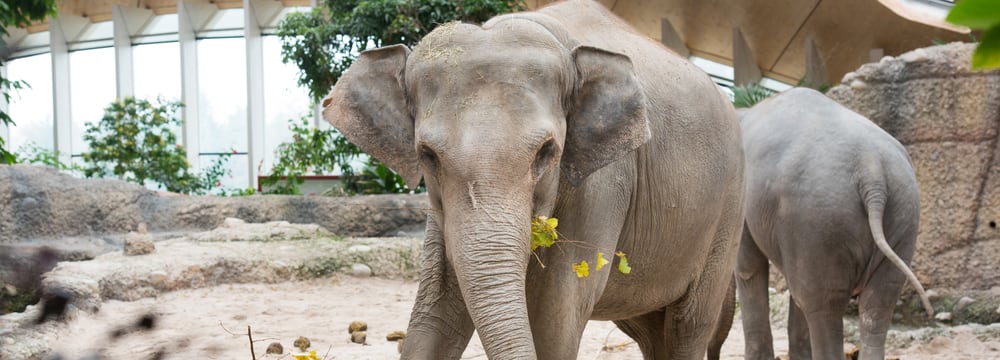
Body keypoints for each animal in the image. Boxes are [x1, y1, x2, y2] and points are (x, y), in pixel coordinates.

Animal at [316, 0, 748, 358]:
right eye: (427, 155)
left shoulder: (605, 181)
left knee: (688, 326)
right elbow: (435, 313)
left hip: (727, 213)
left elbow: (554, 318)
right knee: (650, 329)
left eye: (547, 151)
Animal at [732, 88, 932, 360]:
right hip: (902, 215)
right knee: (878, 301)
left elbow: (748, 268)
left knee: (822, 305)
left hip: (819, 219)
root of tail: (871, 170)